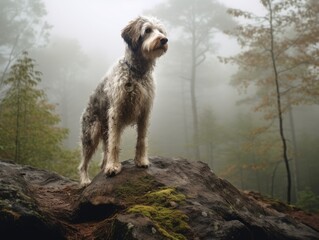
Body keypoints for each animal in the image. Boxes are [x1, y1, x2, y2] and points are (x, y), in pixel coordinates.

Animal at [79, 15, 169, 187]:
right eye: (147, 30)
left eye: (160, 30)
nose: (164, 39)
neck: (137, 72)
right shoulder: (116, 111)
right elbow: (115, 144)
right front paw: (113, 167)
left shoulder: (145, 111)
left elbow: (142, 139)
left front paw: (141, 160)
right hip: (91, 134)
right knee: (83, 163)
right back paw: (85, 180)